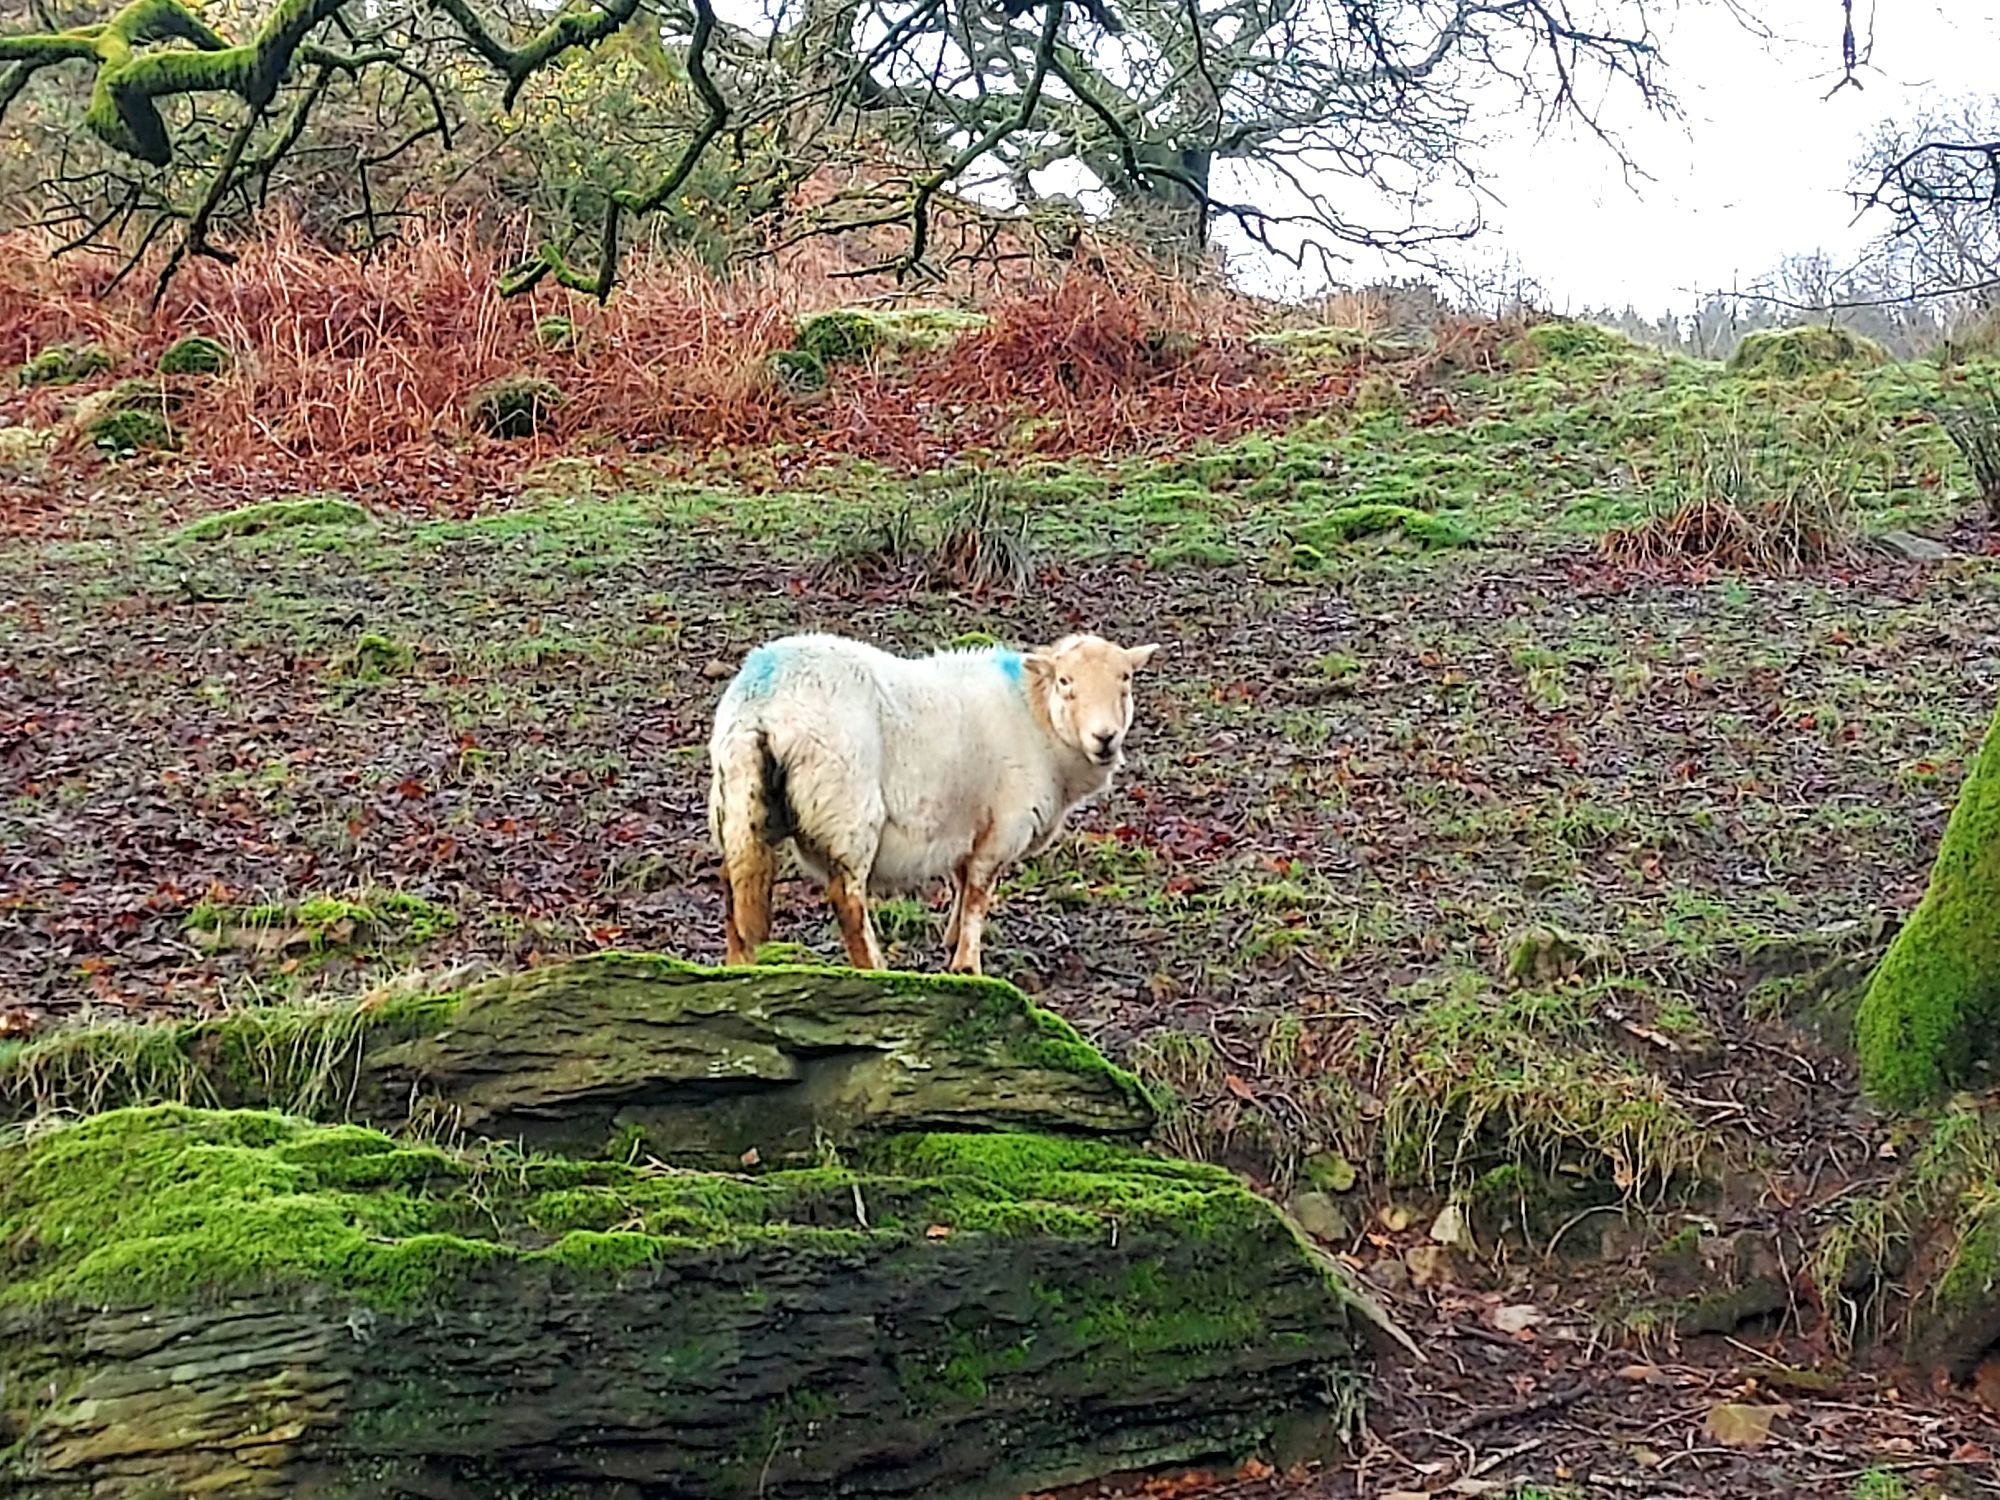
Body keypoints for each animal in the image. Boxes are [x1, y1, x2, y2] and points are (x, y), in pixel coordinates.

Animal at [706, 631, 1159, 974]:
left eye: (1125, 680)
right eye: (1065, 683)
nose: (1105, 738)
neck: (1036, 719)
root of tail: (765, 699)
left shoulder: (969, 822)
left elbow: (960, 880)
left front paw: (951, 938)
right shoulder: (1002, 826)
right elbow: (978, 893)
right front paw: (967, 965)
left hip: (738, 802)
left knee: (734, 889)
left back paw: (737, 968)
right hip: (846, 808)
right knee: (847, 899)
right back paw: (874, 968)